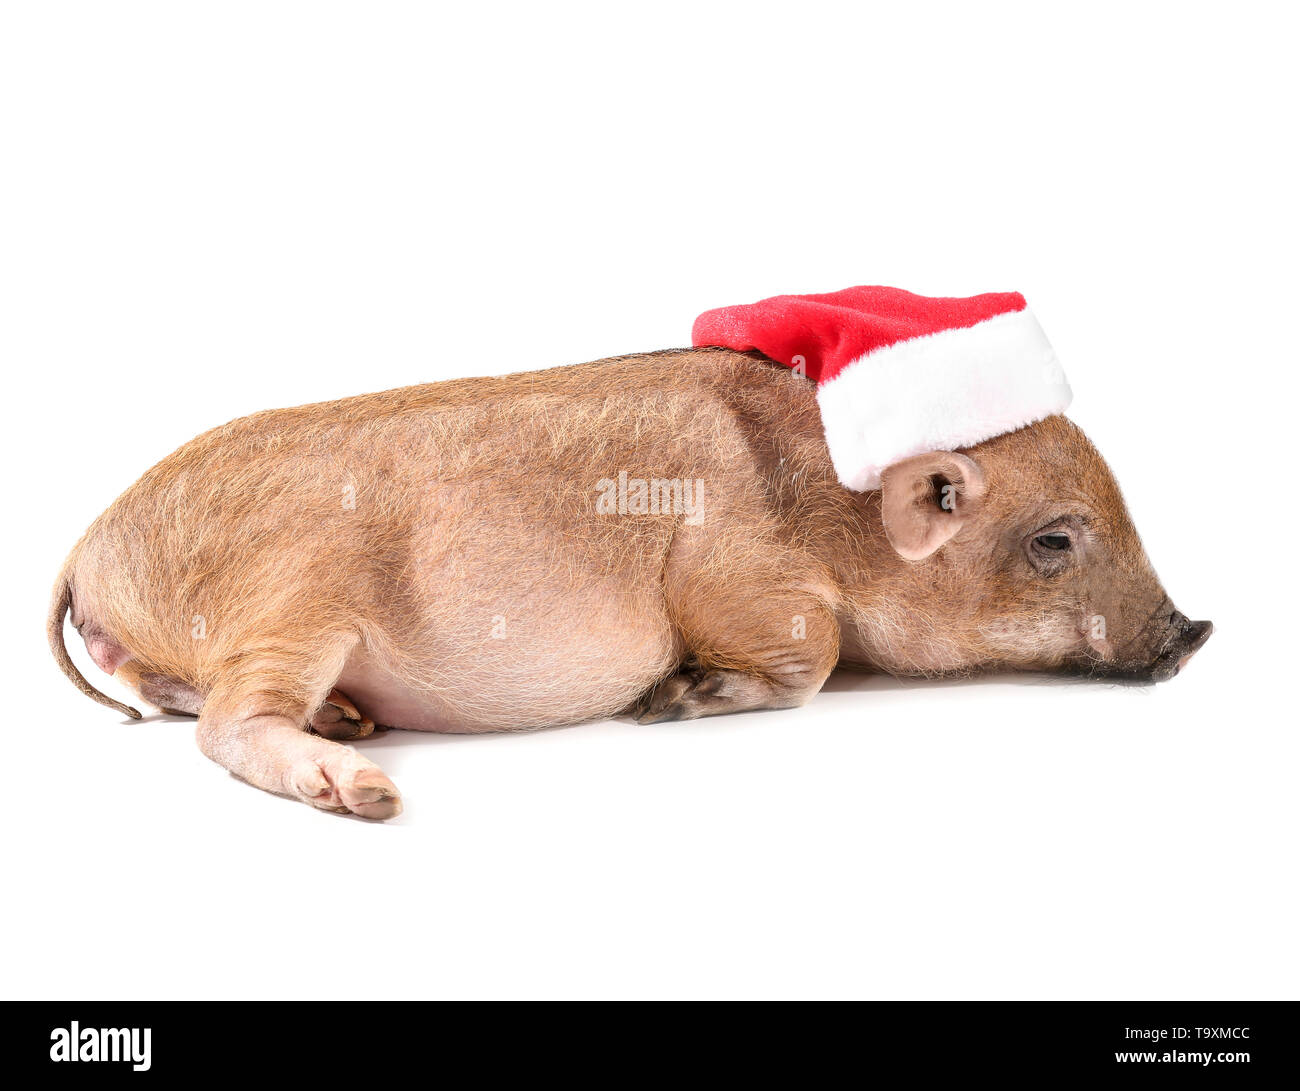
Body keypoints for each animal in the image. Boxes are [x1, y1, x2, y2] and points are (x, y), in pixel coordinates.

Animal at [48, 348, 1212, 818]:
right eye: (1053, 540)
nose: (1195, 630)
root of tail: (89, 544)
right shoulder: (732, 571)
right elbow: (807, 646)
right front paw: (663, 703)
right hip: (295, 593)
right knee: (225, 724)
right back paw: (368, 787)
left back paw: (350, 724)